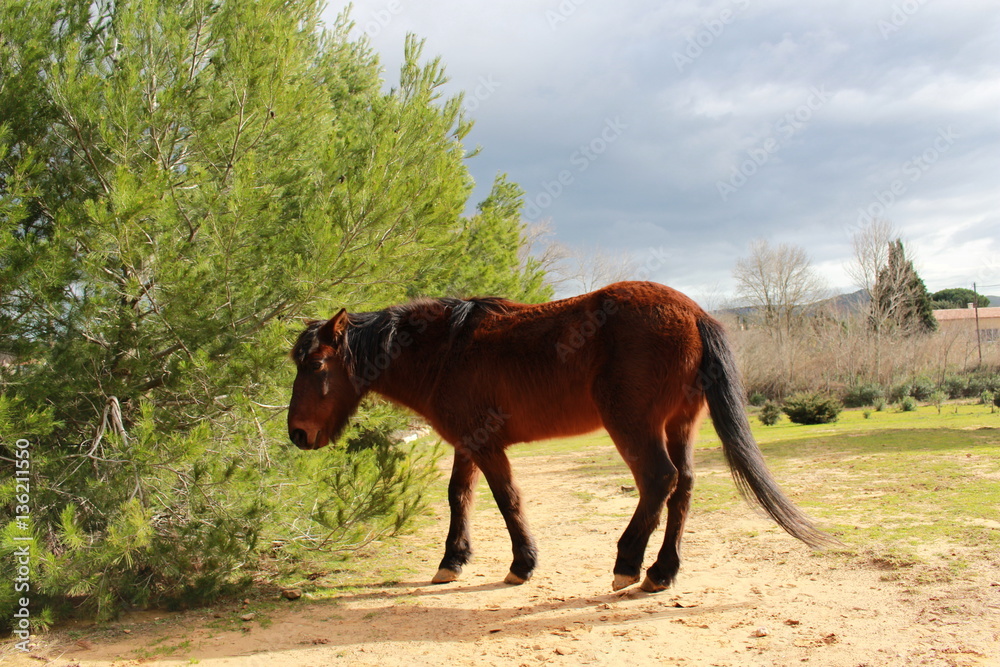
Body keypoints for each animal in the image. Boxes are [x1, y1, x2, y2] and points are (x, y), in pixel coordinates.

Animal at [287, 281, 833, 592]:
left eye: (316, 365)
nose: (297, 433)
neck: (447, 350)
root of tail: (694, 313)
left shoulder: (486, 446)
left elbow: (507, 499)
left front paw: (522, 565)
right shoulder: (467, 443)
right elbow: (459, 496)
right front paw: (452, 561)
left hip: (633, 425)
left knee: (658, 480)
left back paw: (628, 563)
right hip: (680, 425)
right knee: (684, 487)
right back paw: (662, 572)